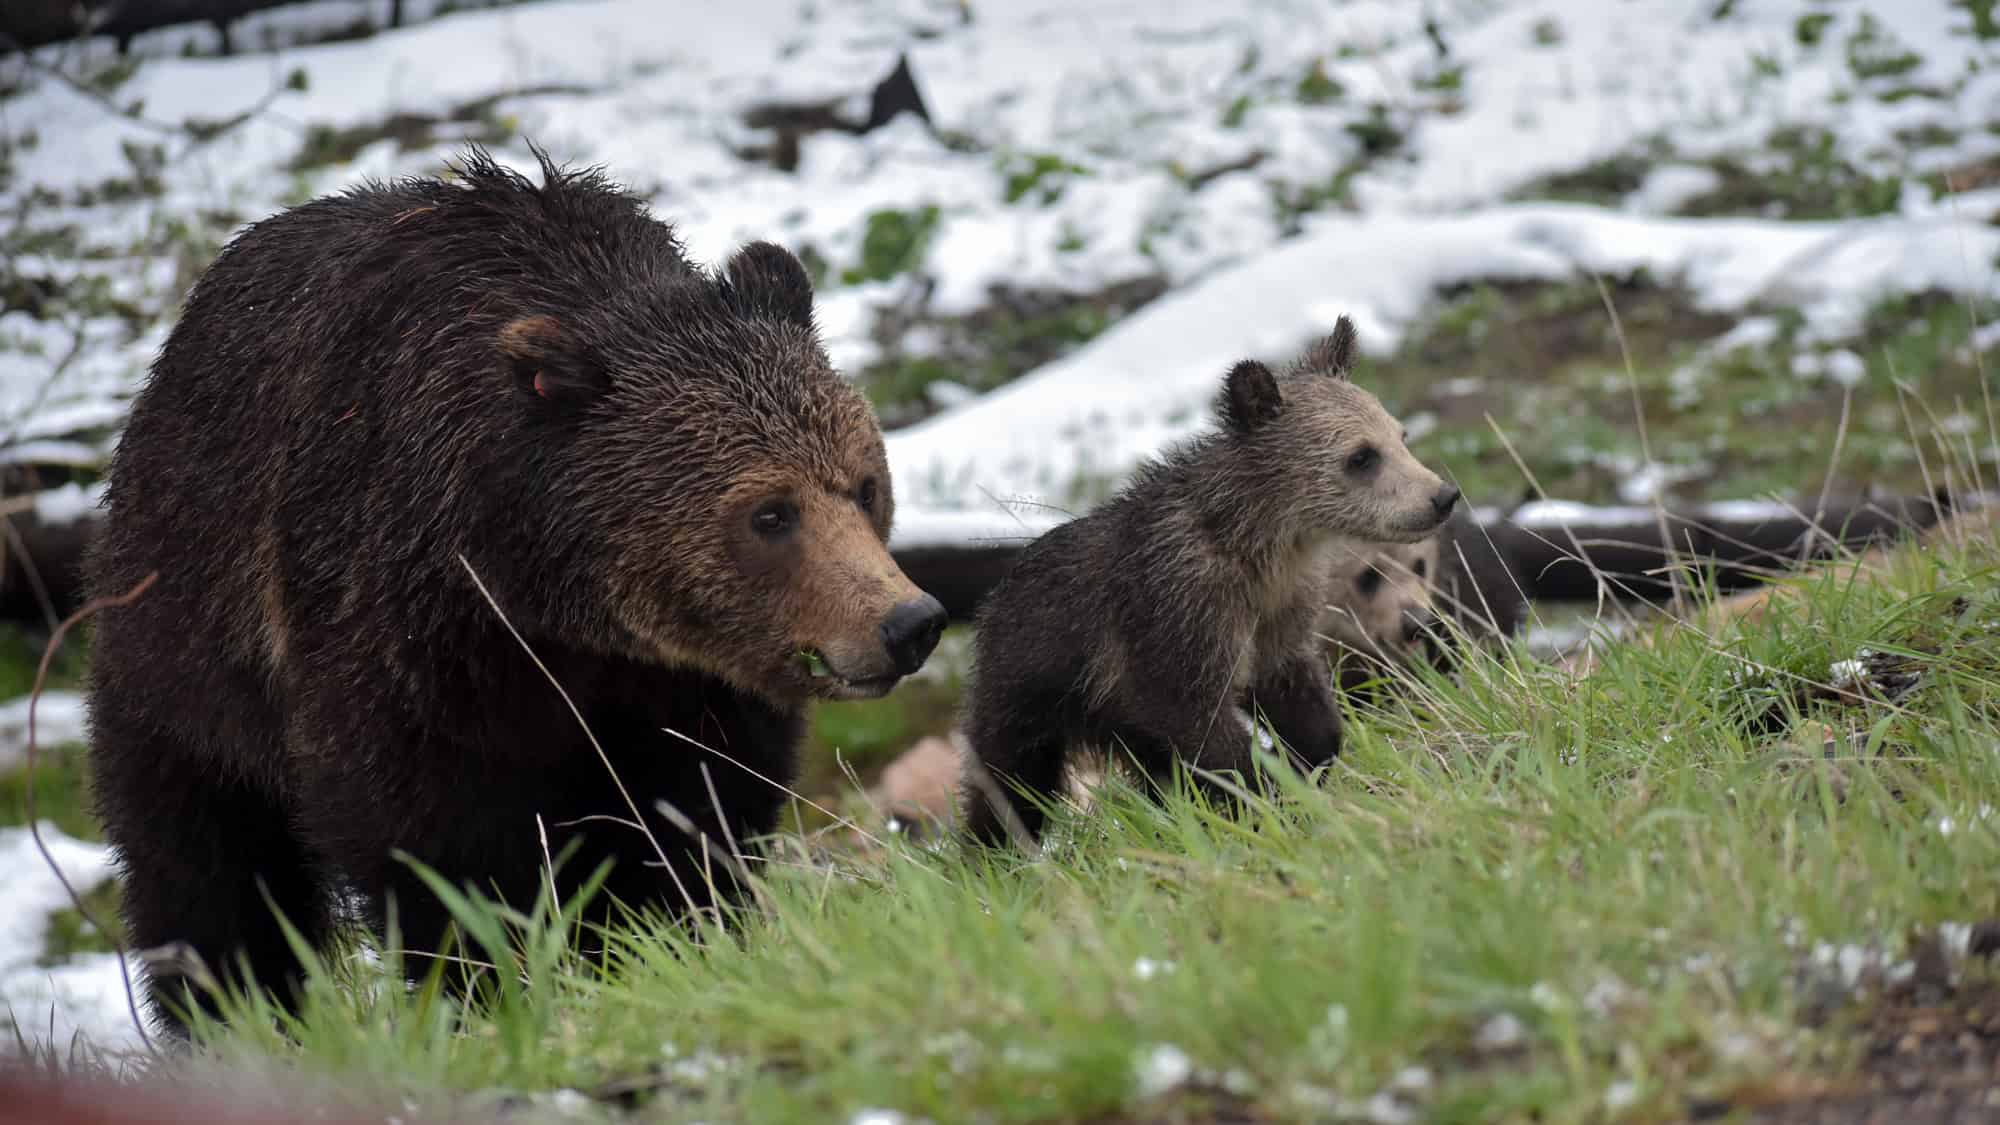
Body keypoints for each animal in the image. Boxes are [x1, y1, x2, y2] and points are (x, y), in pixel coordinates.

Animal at [82, 146, 947, 1037]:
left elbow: (696, 812)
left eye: (864, 484)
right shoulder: (399, 620)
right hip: (191, 651)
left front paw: (661, 941)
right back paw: (233, 1012)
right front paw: (494, 978)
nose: (907, 622)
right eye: (771, 512)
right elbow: (431, 837)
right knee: (205, 865)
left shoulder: (679, 684)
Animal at [958, 317, 1459, 847]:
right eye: (1362, 456)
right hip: (1034, 684)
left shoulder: (1282, 610)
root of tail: (995, 595)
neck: (1261, 547)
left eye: (1400, 435)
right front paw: (1264, 795)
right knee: (1011, 774)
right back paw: (992, 845)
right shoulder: (1175, 619)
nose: (1442, 496)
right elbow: (1204, 730)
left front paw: (1304, 762)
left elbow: (1296, 697)